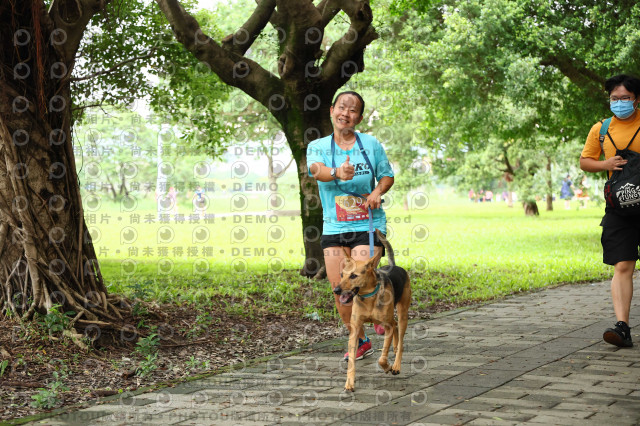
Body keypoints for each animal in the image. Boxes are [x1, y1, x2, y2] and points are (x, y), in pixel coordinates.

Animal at [332, 230, 412, 392]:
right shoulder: (355, 329)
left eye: (354, 276)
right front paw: (349, 382)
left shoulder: (386, 327)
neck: (368, 297)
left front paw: (388, 367)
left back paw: (396, 365)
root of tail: (394, 266)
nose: (336, 290)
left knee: (400, 338)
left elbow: (382, 358)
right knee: (395, 327)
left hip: (402, 314)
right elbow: (352, 362)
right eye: (342, 274)